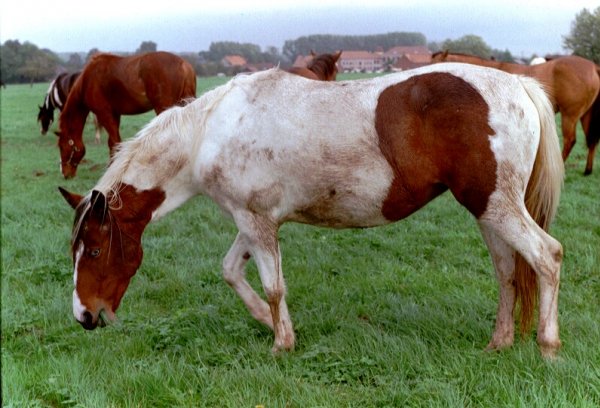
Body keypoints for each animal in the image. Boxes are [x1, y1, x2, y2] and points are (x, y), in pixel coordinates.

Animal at [55, 50, 196, 178]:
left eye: (61, 147)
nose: (64, 173)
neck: (88, 80)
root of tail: (183, 64)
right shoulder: (115, 114)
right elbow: (113, 142)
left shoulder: (104, 114)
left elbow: (114, 142)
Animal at [58, 63, 564, 356]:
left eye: (96, 251)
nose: (84, 316)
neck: (210, 132)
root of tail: (518, 84)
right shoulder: (252, 221)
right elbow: (231, 271)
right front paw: (268, 322)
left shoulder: (257, 222)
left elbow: (272, 285)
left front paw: (281, 342)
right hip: (488, 212)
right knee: (507, 272)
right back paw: (499, 342)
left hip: (498, 208)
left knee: (547, 257)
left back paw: (548, 344)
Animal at [432, 50, 600, 174]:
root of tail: (593, 67)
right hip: (585, 115)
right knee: (591, 140)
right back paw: (588, 170)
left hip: (570, 115)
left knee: (570, 140)